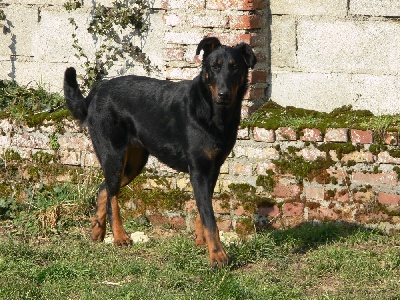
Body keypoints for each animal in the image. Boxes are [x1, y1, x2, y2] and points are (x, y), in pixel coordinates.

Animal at [62, 37, 256, 264]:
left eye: (235, 68)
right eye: (215, 67)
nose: (224, 95)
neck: (214, 111)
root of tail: (97, 90)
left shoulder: (213, 168)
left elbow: (204, 210)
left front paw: (201, 242)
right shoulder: (198, 170)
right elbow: (210, 218)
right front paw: (217, 254)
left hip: (133, 163)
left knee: (104, 189)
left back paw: (97, 232)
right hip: (114, 155)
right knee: (112, 197)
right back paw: (119, 236)